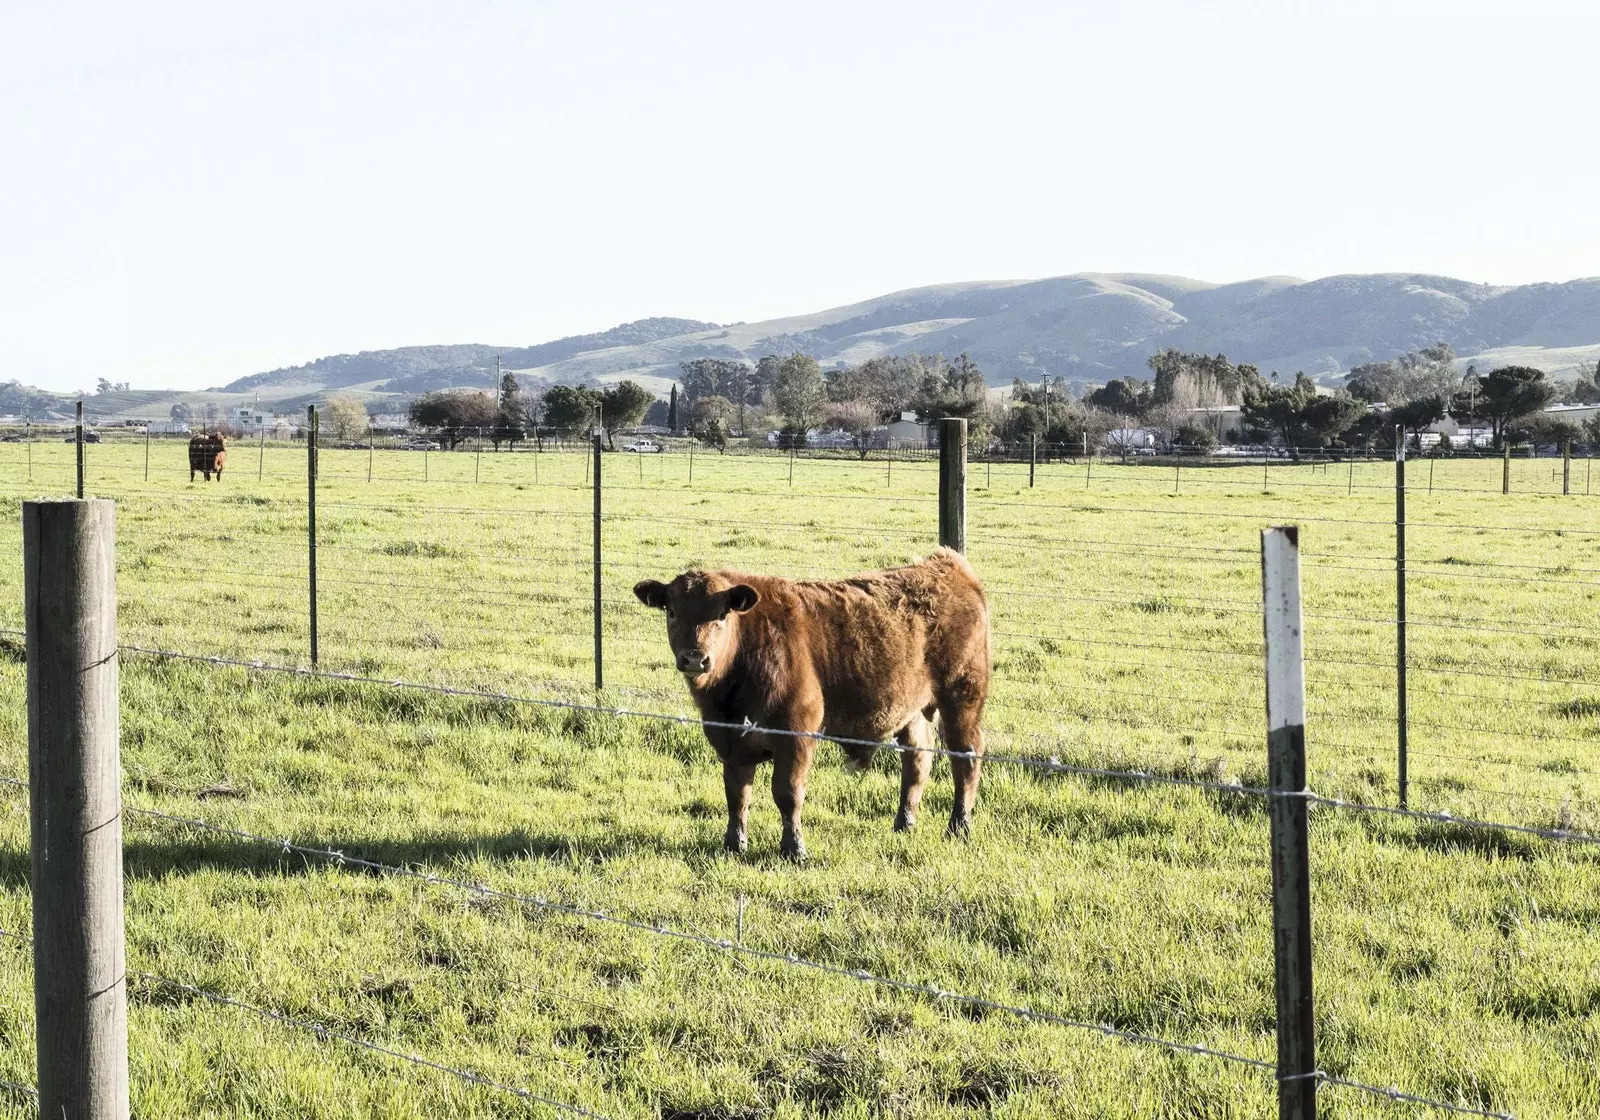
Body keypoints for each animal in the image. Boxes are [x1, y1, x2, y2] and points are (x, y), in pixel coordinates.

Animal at [633, 550, 985, 857]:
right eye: (672, 612)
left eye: (721, 614)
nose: (695, 658)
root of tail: (946, 563)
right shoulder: (730, 741)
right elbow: (737, 793)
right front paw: (734, 844)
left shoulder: (796, 735)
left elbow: (787, 793)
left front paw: (794, 848)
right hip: (910, 711)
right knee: (917, 759)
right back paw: (904, 822)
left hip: (962, 699)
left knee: (965, 758)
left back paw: (959, 826)